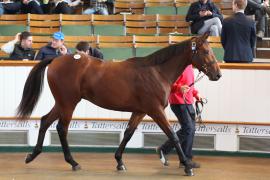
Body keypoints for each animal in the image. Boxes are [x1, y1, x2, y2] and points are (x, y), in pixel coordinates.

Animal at [15, 32, 220, 176]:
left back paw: (32, 155)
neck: (156, 72)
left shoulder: (140, 111)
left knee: (45, 121)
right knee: (61, 128)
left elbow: (128, 134)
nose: (217, 74)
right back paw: (73, 162)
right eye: (206, 51)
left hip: (62, 102)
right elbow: (173, 135)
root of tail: (57, 59)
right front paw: (187, 166)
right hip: (68, 103)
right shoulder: (155, 110)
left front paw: (120, 161)